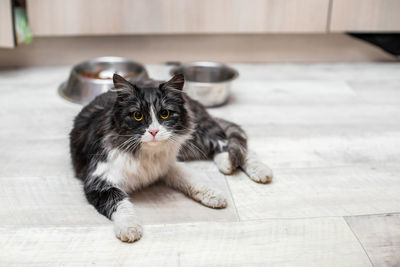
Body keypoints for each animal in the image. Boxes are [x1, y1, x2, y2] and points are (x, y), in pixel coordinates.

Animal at [70, 73, 274, 243]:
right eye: (137, 116)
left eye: (165, 113)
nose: (153, 131)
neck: (148, 156)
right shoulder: (99, 181)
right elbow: (121, 204)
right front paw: (130, 228)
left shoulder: (168, 164)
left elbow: (192, 179)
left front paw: (213, 195)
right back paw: (227, 163)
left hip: (197, 135)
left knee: (231, 143)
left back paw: (259, 171)